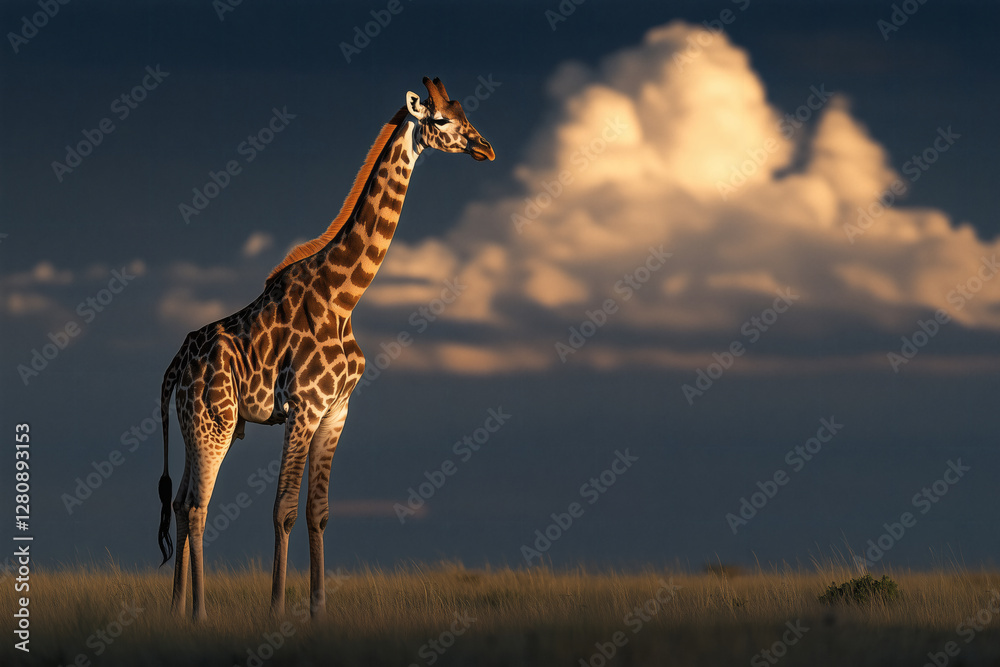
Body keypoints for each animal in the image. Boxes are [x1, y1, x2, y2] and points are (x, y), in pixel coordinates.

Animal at [156, 77, 494, 621]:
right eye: (441, 119)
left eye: (465, 113)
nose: (485, 147)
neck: (344, 297)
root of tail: (172, 369)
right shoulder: (305, 407)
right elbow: (284, 509)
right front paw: (276, 611)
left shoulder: (337, 410)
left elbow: (319, 512)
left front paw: (318, 612)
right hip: (214, 423)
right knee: (196, 506)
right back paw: (200, 613)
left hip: (197, 425)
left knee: (181, 503)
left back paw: (176, 612)